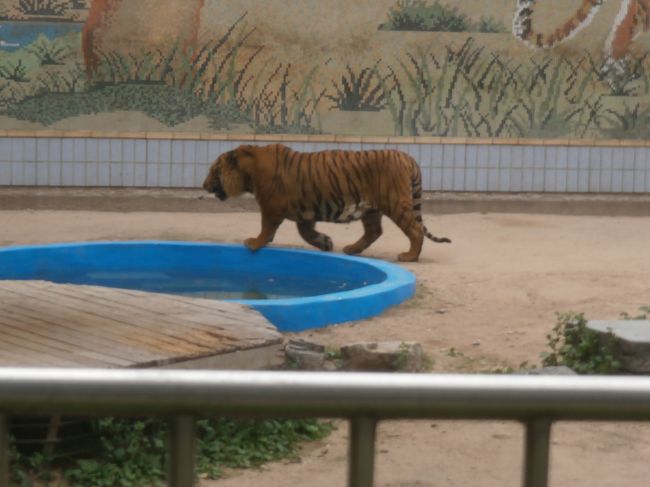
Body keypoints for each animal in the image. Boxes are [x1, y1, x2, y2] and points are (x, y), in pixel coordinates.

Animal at [202, 143, 450, 262]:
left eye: (213, 170)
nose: (203, 185)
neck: (249, 172)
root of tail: (408, 157)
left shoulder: (271, 207)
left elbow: (266, 228)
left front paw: (254, 243)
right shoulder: (304, 210)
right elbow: (306, 233)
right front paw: (326, 243)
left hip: (395, 202)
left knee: (415, 229)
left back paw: (409, 256)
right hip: (371, 208)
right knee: (374, 231)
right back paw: (351, 249)